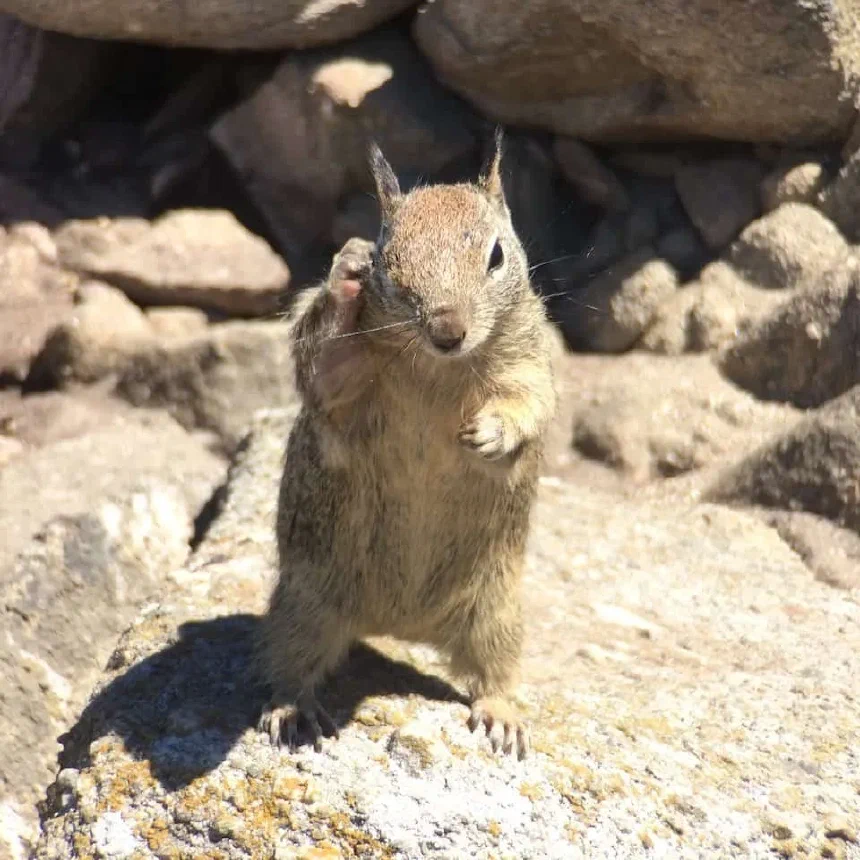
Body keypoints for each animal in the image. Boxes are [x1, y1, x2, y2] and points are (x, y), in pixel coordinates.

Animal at [258, 131, 556, 760]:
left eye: (496, 256)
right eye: (385, 262)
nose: (448, 330)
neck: (438, 367)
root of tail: (402, 627)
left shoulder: (530, 355)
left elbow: (530, 401)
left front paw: (490, 435)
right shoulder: (339, 380)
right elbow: (323, 367)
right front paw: (343, 277)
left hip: (497, 612)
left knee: (493, 673)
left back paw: (502, 715)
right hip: (305, 604)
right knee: (291, 662)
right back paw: (294, 711)